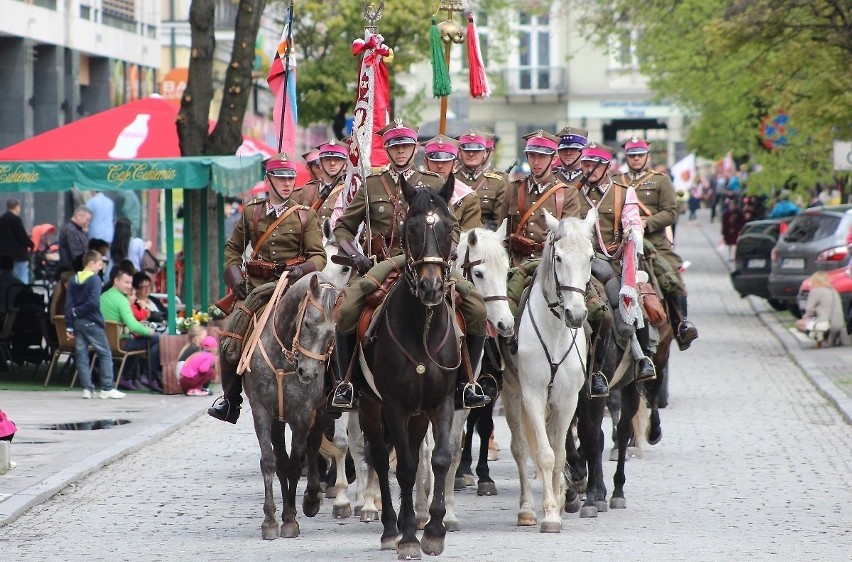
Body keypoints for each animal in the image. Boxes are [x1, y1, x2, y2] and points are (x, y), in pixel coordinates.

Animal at [414, 220, 512, 528]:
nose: (506, 324)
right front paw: (422, 510)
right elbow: (424, 449)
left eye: (507, 271)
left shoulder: (460, 402)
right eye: (478, 273)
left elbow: (453, 449)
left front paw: (448, 512)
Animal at [502, 208, 596, 532]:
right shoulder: (533, 394)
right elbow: (544, 454)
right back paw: (528, 509)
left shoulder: (568, 399)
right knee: (520, 448)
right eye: (559, 257)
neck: (555, 333)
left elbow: (560, 454)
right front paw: (550, 513)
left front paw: (560, 500)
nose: (576, 314)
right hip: (512, 393)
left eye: (591, 257)